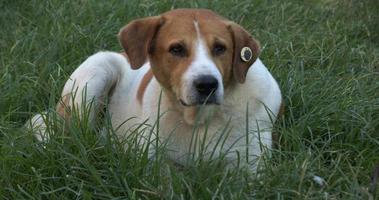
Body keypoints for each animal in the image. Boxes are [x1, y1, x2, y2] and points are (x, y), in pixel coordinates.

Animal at [29, 8, 282, 170]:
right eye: (177, 49)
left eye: (220, 48)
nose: (207, 84)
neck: (200, 120)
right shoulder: (156, 164)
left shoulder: (249, 167)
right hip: (97, 72)